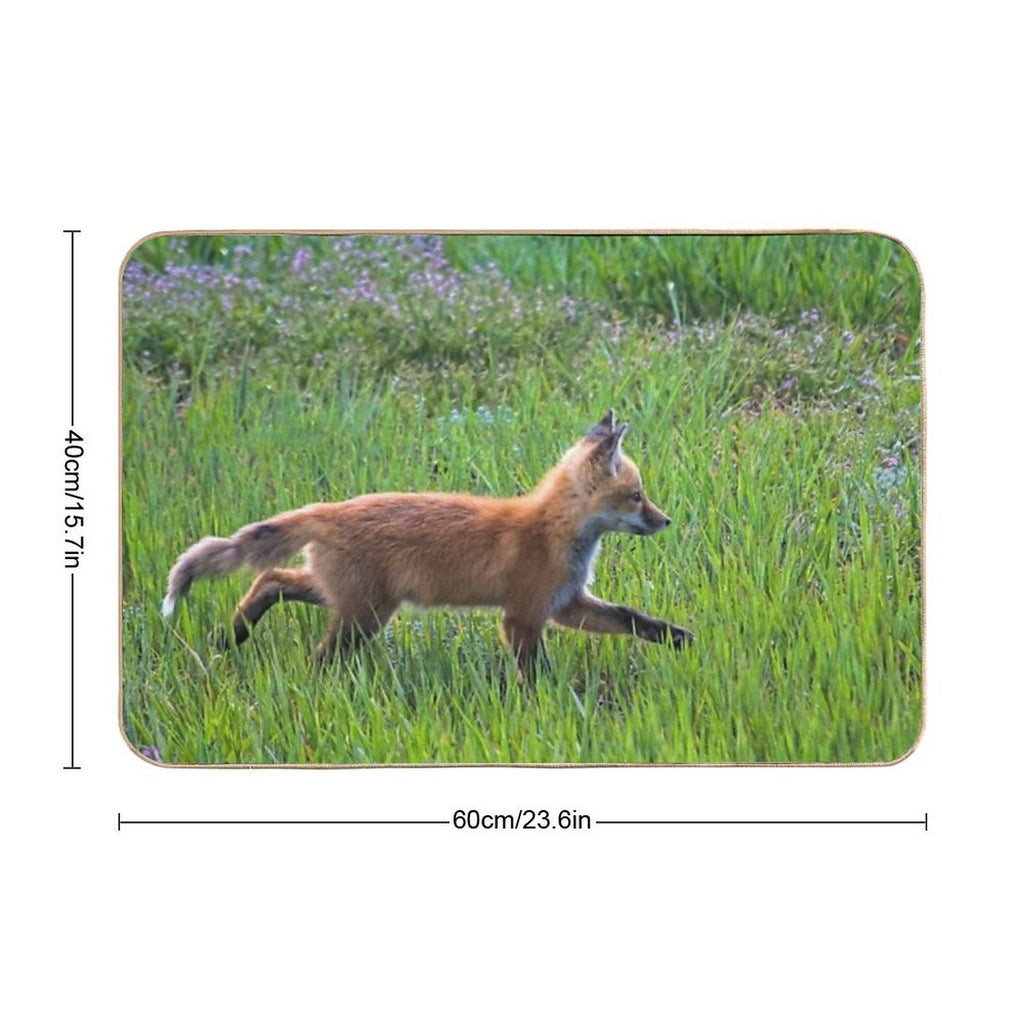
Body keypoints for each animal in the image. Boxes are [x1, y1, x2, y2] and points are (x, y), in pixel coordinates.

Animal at [162, 410, 693, 676]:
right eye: (637, 496)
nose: (667, 520)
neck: (553, 532)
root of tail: (329, 509)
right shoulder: (523, 615)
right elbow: (534, 672)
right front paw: (549, 703)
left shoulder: (565, 604)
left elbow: (630, 618)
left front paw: (674, 637)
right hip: (365, 616)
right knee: (316, 651)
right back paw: (309, 682)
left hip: (346, 598)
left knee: (270, 579)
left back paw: (232, 635)